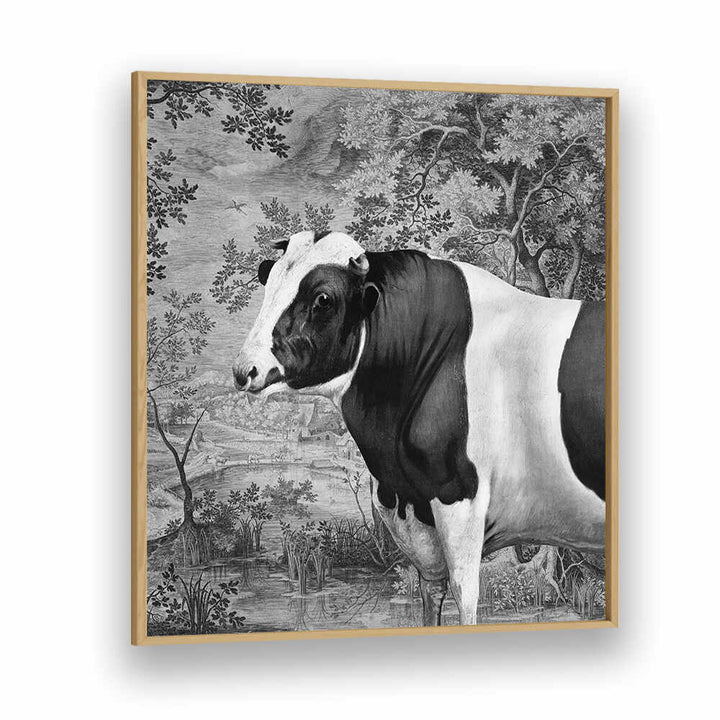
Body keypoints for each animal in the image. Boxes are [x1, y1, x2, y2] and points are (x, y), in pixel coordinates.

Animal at [233, 230, 606, 626]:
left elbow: (466, 597)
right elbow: (430, 593)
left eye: (323, 299)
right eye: (269, 279)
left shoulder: (460, 497)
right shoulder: (416, 520)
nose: (244, 369)